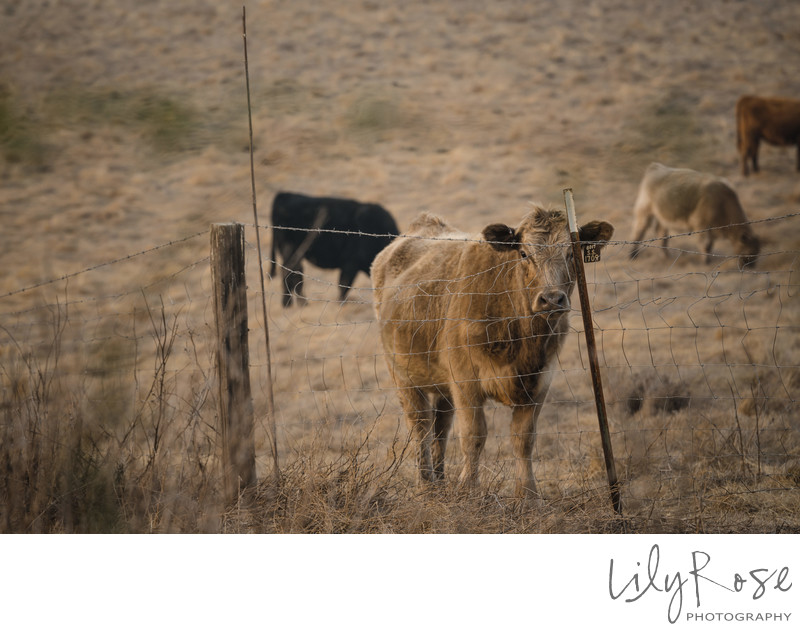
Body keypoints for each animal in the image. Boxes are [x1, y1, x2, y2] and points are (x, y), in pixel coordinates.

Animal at [270, 191, 398, 308]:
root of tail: (284, 194)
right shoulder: (350, 264)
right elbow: (344, 285)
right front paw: (341, 304)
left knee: (292, 271)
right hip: (291, 249)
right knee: (291, 272)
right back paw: (297, 303)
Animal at [372, 207, 616, 498]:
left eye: (572, 253)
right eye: (523, 253)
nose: (552, 299)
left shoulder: (540, 382)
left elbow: (524, 439)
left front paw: (528, 497)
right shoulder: (466, 382)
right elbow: (474, 435)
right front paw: (468, 490)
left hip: (442, 384)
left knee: (440, 427)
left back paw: (440, 483)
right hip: (403, 376)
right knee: (420, 427)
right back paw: (426, 487)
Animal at [628, 162, 760, 268]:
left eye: (758, 251)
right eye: (750, 251)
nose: (751, 267)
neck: (722, 201)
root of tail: (655, 167)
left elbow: (710, 245)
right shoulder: (701, 225)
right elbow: (705, 244)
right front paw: (706, 261)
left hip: (662, 217)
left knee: (662, 234)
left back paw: (665, 255)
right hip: (644, 212)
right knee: (639, 231)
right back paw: (632, 255)